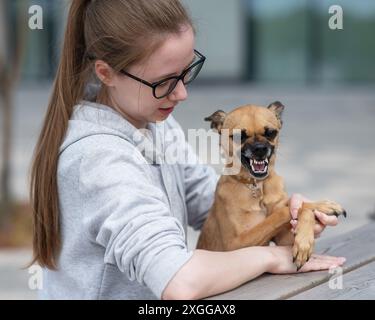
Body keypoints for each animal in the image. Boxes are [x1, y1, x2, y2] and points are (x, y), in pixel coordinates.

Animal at [197, 101, 346, 268]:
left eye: (271, 133)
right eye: (238, 136)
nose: (260, 149)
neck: (257, 186)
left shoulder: (284, 239)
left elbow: (294, 209)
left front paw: (303, 242)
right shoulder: (235, 244)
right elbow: (284, 212)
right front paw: (317, 206)